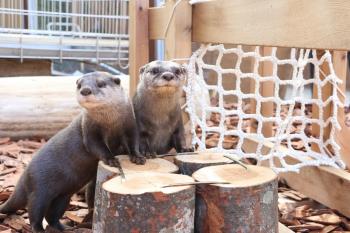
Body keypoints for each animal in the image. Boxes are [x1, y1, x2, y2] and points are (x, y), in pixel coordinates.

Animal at [0, 72, 145, 232]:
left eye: (100, 83)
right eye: (79, 85)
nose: (85, 90)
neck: (110, 123)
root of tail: (24, 175)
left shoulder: (130, 125)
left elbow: (134, 143)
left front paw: (138, 157)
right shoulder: (89, 130)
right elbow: (96, 147)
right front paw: (111, 160)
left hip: (63, 196)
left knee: (52, 216)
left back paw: (64, 228)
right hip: (39, 188)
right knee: (34, 211)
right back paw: (39, 228)